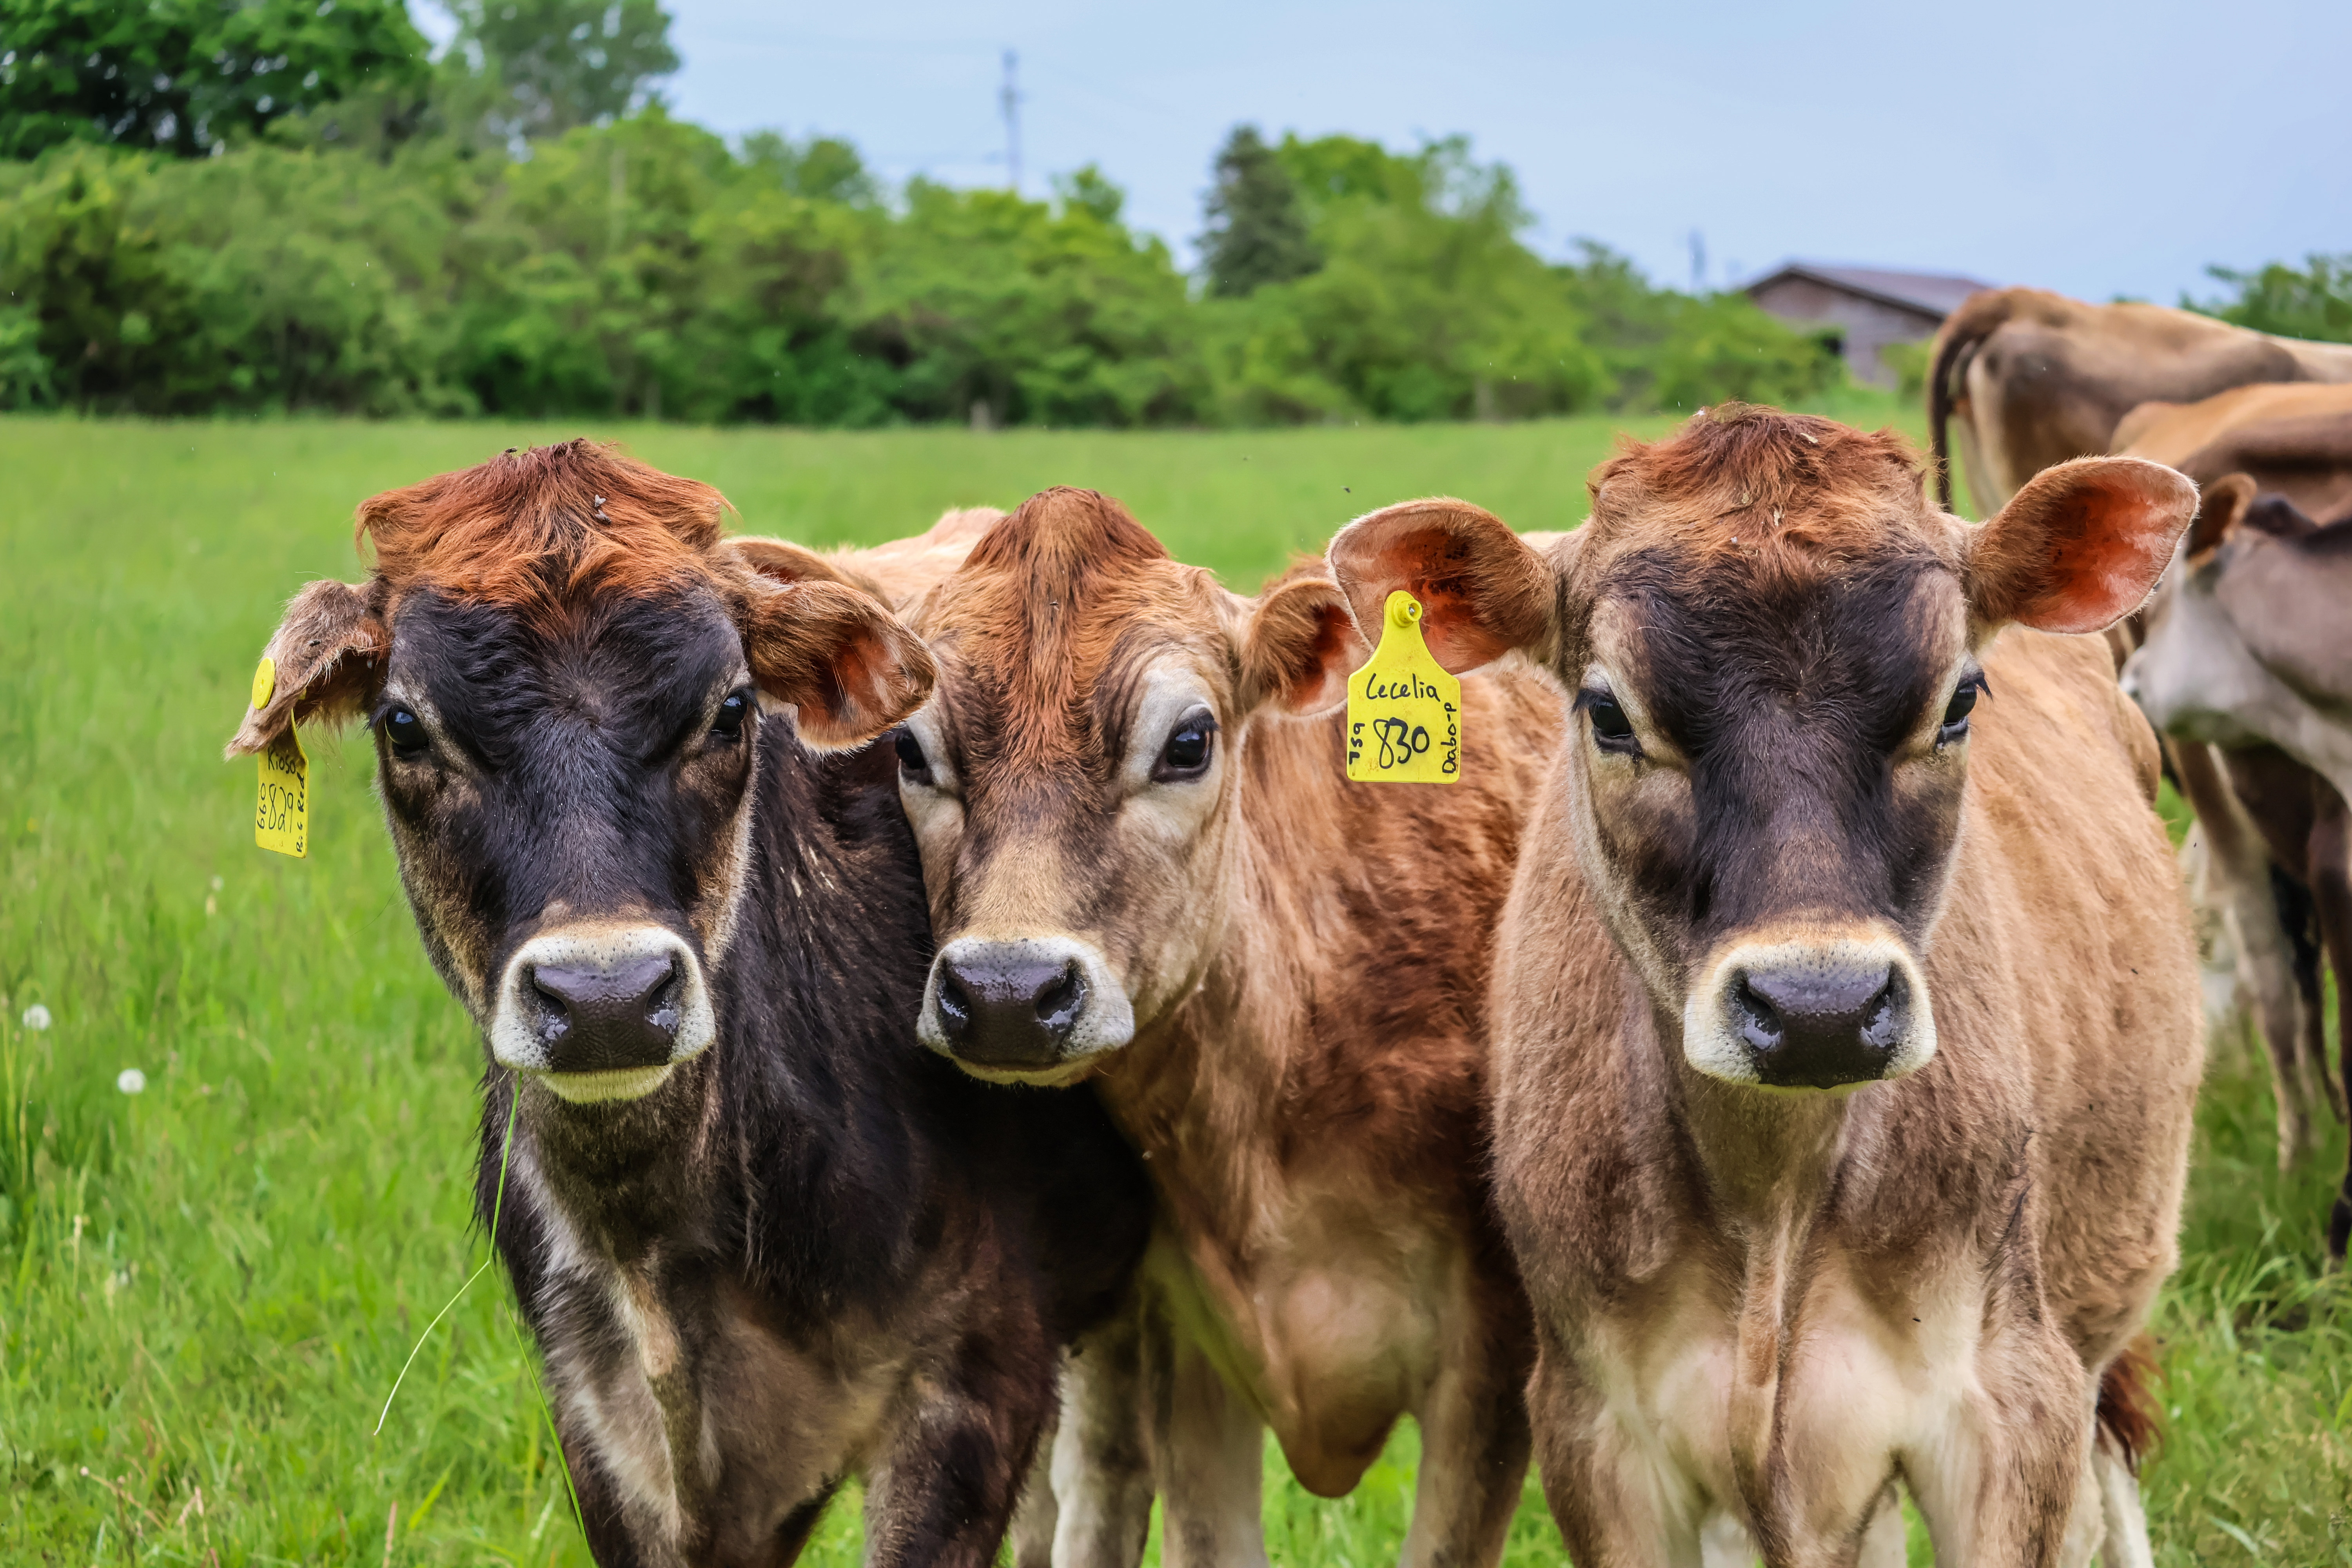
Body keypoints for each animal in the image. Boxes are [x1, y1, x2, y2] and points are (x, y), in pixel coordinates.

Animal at [1329, 406, 2203, 1566]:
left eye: (1959, 700)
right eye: (1609, 713)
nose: (1818, 1011)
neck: (1773, 1211)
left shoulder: (2012, 1399)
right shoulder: (1596, 1430)